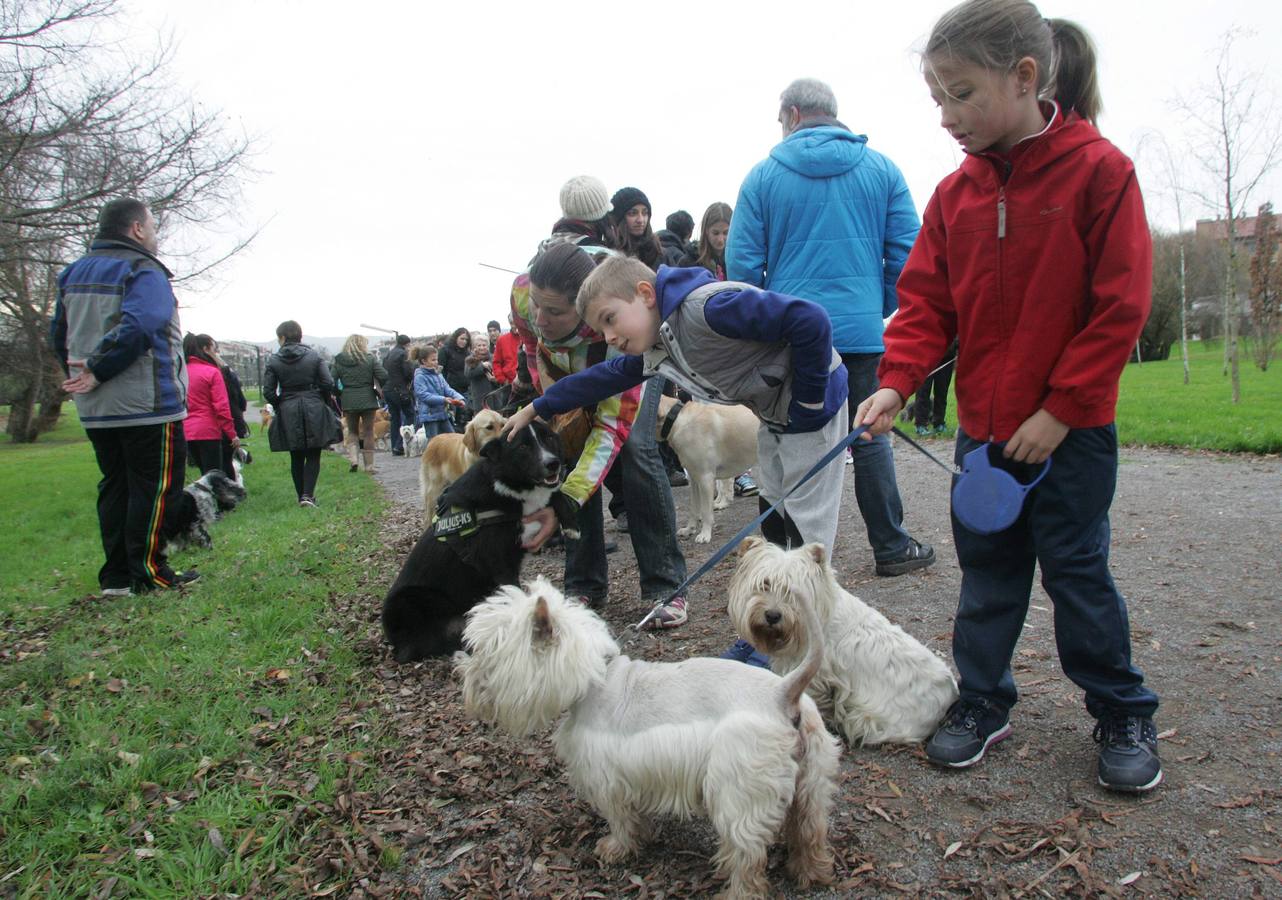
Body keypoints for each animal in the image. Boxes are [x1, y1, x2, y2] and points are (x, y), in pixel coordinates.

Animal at [461, 579, 840, 900]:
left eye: (489, 650)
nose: (464, 674)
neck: (596, 678)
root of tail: (783, 692)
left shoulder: (607, 779)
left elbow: (620, 819)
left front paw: (615, 849)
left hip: (739, 793)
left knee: (747, 856)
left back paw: (737, 892)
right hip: (811, 785)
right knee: (811, 831)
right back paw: (811, 873)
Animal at [728, 535, 958, 748]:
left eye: (793, 591)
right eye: (764, 584)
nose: (772, 616)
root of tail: (951, 694)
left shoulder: (813, 673)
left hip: (868, 719)